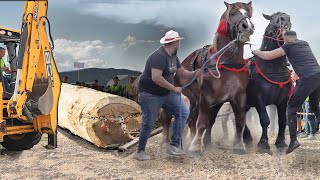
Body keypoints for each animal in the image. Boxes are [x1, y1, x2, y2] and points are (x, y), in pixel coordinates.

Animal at [161, 0, 254, 154]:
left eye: (249, 13)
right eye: (233, 13)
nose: (247, 27)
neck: (225, 63)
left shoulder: (238, 96)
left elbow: (240, 121)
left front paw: (239, 145)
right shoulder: (206, 97)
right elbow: (203, 122)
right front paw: (195, 147)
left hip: (194, 99)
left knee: (191, 120)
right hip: (178, 95)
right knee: (167, 117)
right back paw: (165, 141)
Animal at [204, 12, 294, 153]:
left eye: (288, 18)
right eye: (272, 19)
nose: (285, 23)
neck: (272, 66)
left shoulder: (283, 100)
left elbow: (283, 120)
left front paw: (281, 143)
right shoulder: (259, 99)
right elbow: (265, 120)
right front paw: (263, 144)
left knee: (240, 117)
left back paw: (246, 138)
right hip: (219, 101)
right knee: (213, 118)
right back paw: (207, 141)